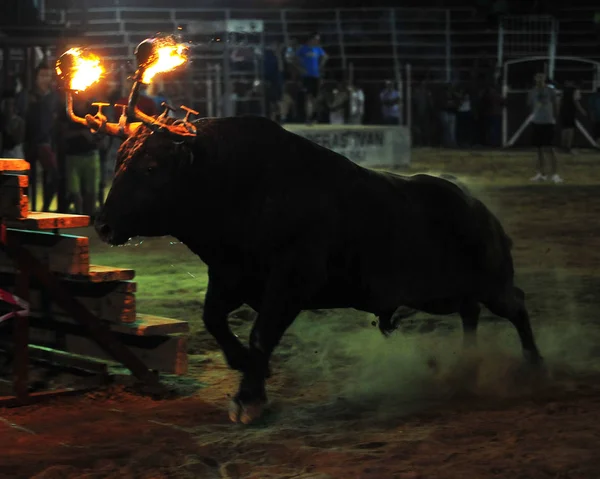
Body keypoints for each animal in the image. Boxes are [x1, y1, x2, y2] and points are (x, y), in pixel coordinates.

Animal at [95, 116, 544, 424]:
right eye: (118, 162)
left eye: (151, 168)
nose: (103, 224)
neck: (240, 185)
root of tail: (478, 209)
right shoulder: (229, 276)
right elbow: (214, 320)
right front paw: (245, 366)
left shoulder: (290, 283)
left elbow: (260, 334)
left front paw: (250, 397)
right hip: (443, 295)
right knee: (471, 313)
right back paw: (469, 363)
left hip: (489, 283)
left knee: (516, 305)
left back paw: (534, 364)